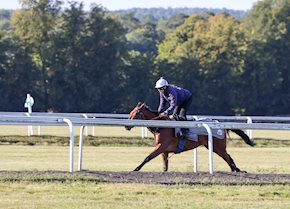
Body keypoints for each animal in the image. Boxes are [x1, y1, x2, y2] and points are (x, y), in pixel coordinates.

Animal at [124, 102, 254, 172]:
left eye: (136, 114)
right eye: (130, 113)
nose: (126, 126)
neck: (161, 126)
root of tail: (219, 123)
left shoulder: (161, 146)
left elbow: (148, 157)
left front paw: (136, 169)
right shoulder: (164, 151)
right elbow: (165, 166)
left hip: (218, 147)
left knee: (228, 157)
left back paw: (237, 170)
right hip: (212, 146)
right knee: (228, 158)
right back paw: (235, 170)